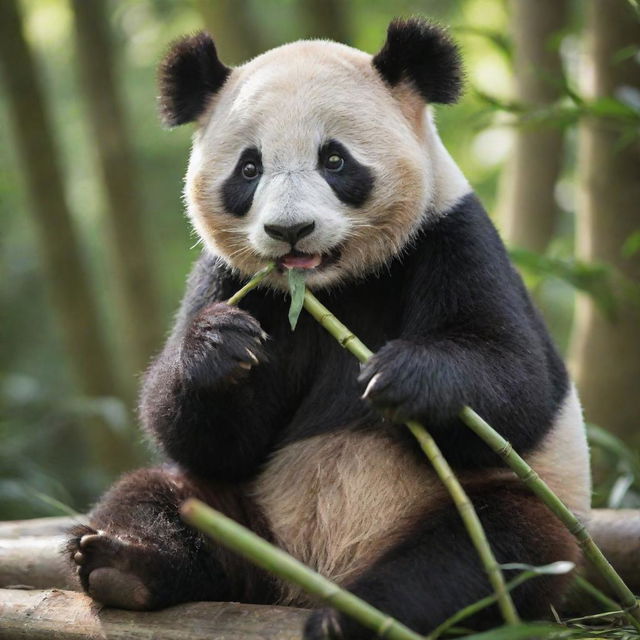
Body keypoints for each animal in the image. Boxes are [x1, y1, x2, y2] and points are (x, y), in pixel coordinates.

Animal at [67, 17, 592, 636]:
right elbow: (201, 438)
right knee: (160, 497)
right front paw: (219, 348)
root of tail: (306, 577)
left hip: (498, 508)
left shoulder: (452, 238)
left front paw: (404, 376)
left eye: (335, 161)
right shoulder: (232, 280)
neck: (332, 286)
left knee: (486, 550)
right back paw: (122, 562)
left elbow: (517, 383)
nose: (289, 230)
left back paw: (358, 615)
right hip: (253, 515)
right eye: (249, 168)